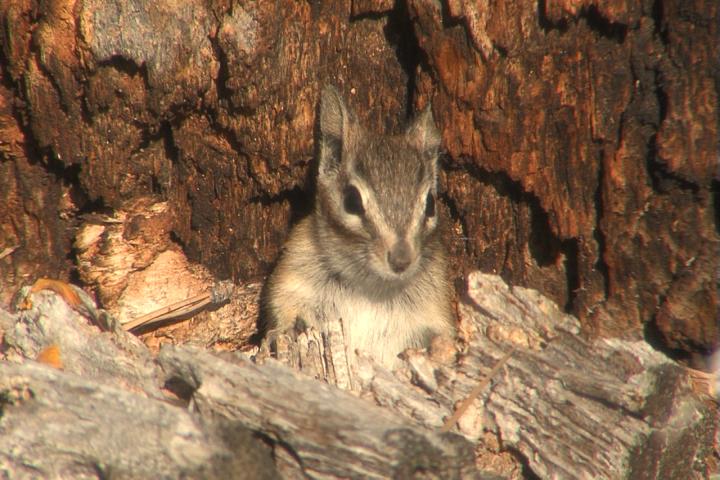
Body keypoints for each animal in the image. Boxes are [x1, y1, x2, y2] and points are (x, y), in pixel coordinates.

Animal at [261, 86, 455, 369]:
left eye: (430, 204)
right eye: (351, 201)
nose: (401, 261)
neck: (371, 285)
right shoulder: (292, 278)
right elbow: (282, 308)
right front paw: (279, 334)